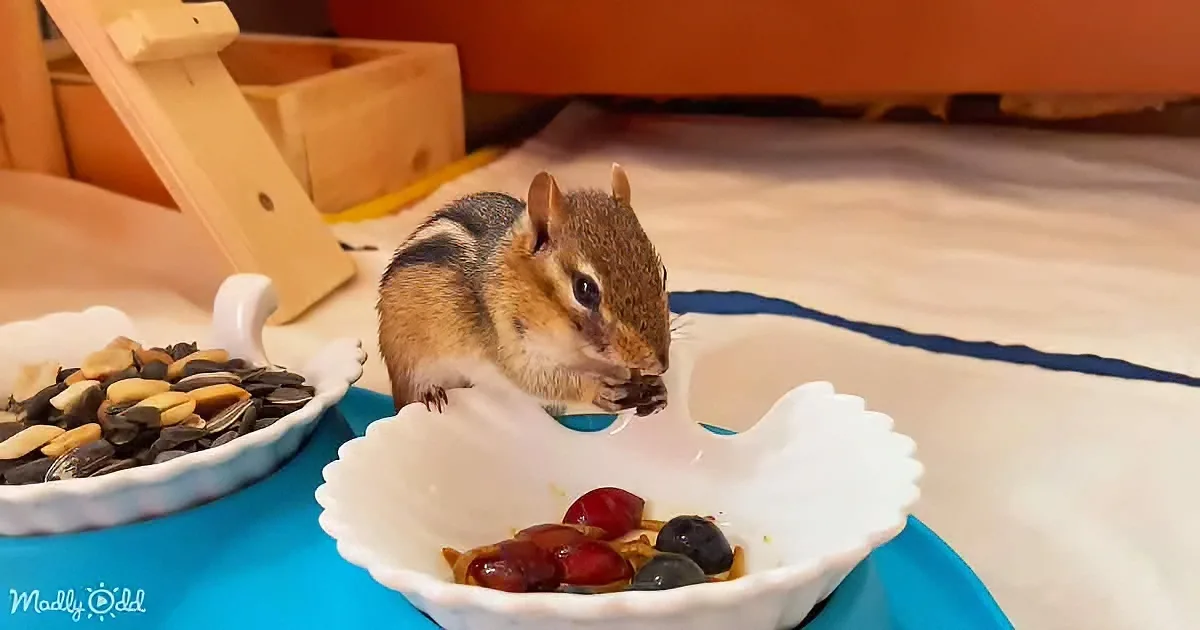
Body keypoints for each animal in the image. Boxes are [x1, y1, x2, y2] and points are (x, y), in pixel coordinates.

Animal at [377, 164, 672, 417]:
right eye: (584, 289)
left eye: (664, 273)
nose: (661, 364)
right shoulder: (508, 339)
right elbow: (539, 381)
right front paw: (597, 391)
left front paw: (656, 387)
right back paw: (430, 394)